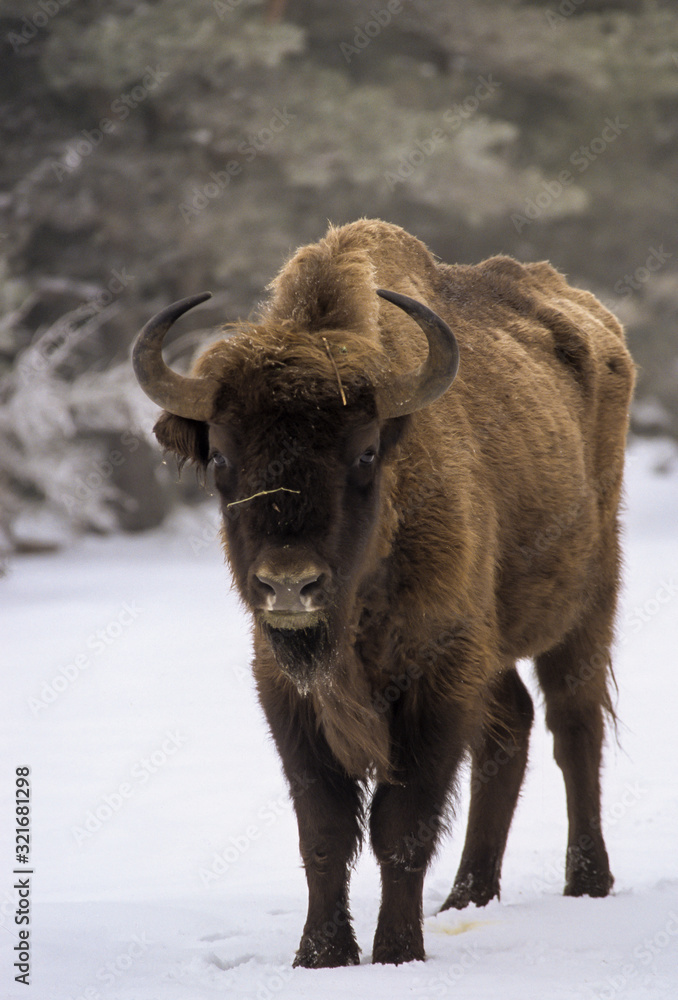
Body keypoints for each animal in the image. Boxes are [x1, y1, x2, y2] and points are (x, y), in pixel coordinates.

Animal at [131, 221, 636, 968]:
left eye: (365, 452)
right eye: (221, 457)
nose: (289, 583)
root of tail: (599, 326)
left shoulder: (435, 680)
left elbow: (401, 827)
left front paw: (397, 951)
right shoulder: (289, 692)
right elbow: (325, 831)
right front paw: (319, 956)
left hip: (586, 603)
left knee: (574, 728)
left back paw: (587, 882)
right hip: (493, 647)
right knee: (509, 730)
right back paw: (468, 897)